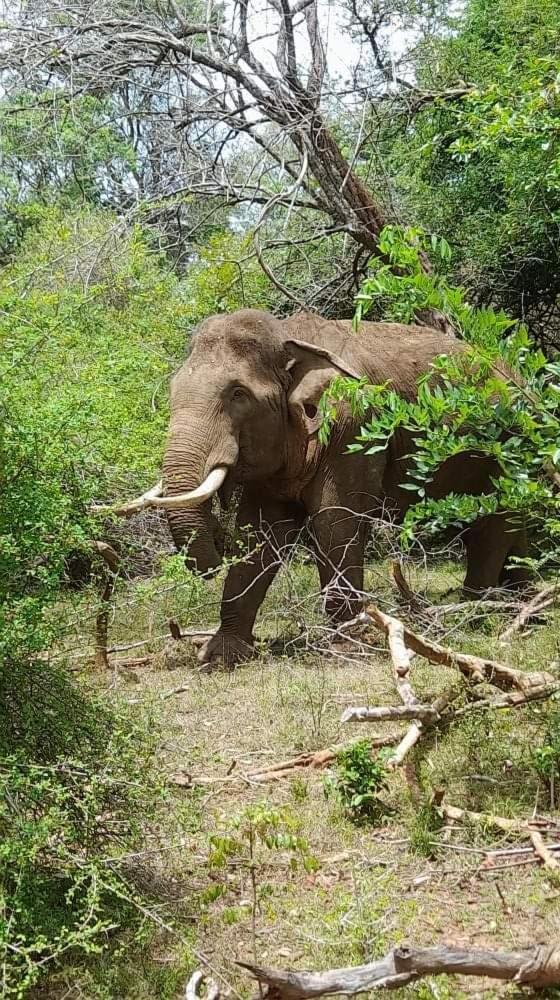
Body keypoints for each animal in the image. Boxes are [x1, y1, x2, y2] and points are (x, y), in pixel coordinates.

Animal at [160, 308, 528, 668]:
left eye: (238, 394)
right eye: (172, 388)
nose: (213, 553)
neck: (288, 334)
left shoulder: (353, 429)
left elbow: (334, 521)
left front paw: (346, 647)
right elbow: (260, 533)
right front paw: (218, 656)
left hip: (508, 448)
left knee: (494, 526)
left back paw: (477, 614)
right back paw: (520, 610)